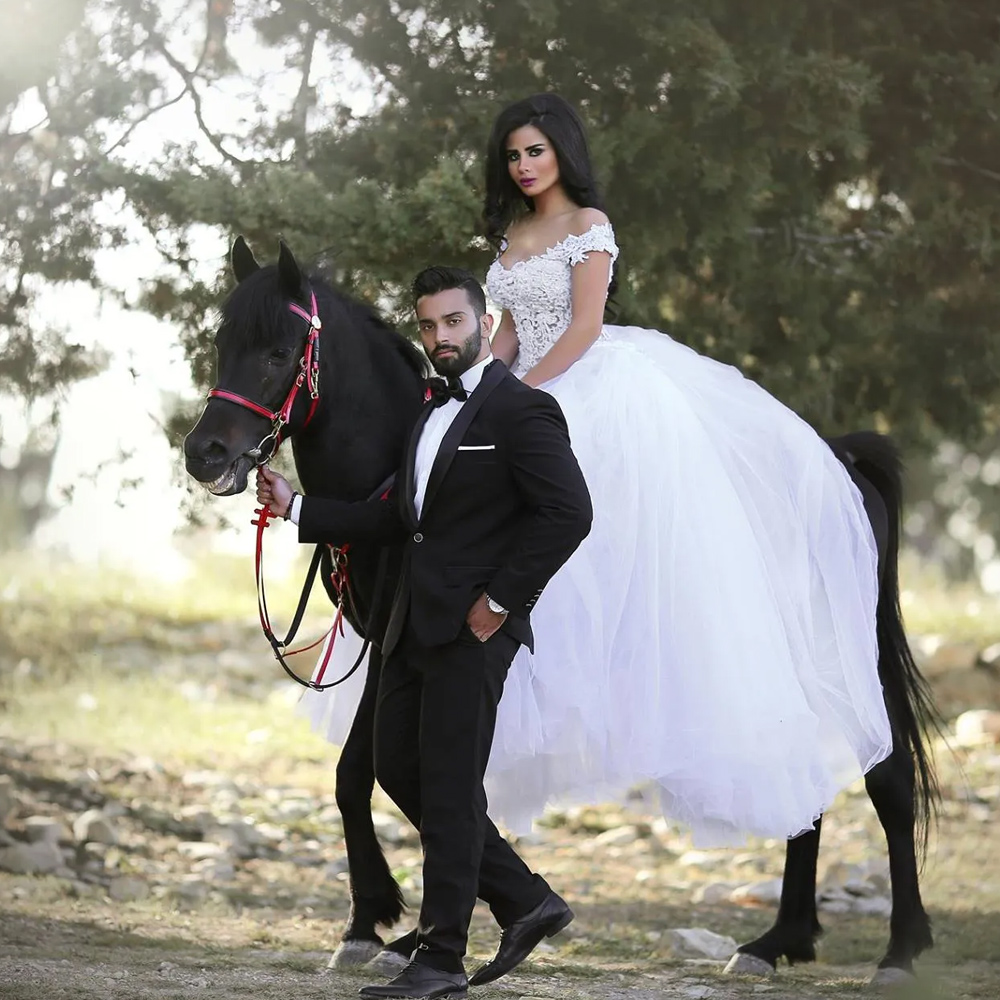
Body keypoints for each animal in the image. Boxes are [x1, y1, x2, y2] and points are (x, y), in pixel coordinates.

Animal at [184, 240, 940, 984]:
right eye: (223, 344)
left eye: (279, 352)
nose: (205, 454)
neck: (401, 465)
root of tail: (842, 461)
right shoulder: (393, 646)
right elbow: (360, 776)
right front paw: (377, 925)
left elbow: (404, 778)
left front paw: (395, 927)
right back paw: (777, 939)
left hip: (851, 652)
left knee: (889, 778)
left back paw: (899, 951)